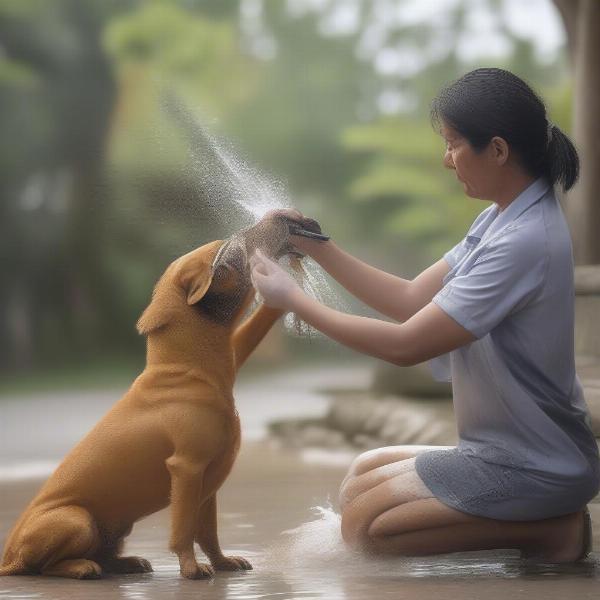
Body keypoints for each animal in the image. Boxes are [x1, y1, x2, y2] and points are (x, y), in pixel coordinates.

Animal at [0, 213, 302, 580]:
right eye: (230, 250)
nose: (282, 217)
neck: (185, 368)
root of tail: (7, 560)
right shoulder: (186, 468)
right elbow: (184, 529)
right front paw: (191, 568)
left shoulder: (208, 477)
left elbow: (209, 532)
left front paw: (221, 562)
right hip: (76, 519)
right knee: (43, 567)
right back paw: (81, 567)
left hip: (116, 526)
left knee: (105, 554)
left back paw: (126, 563)